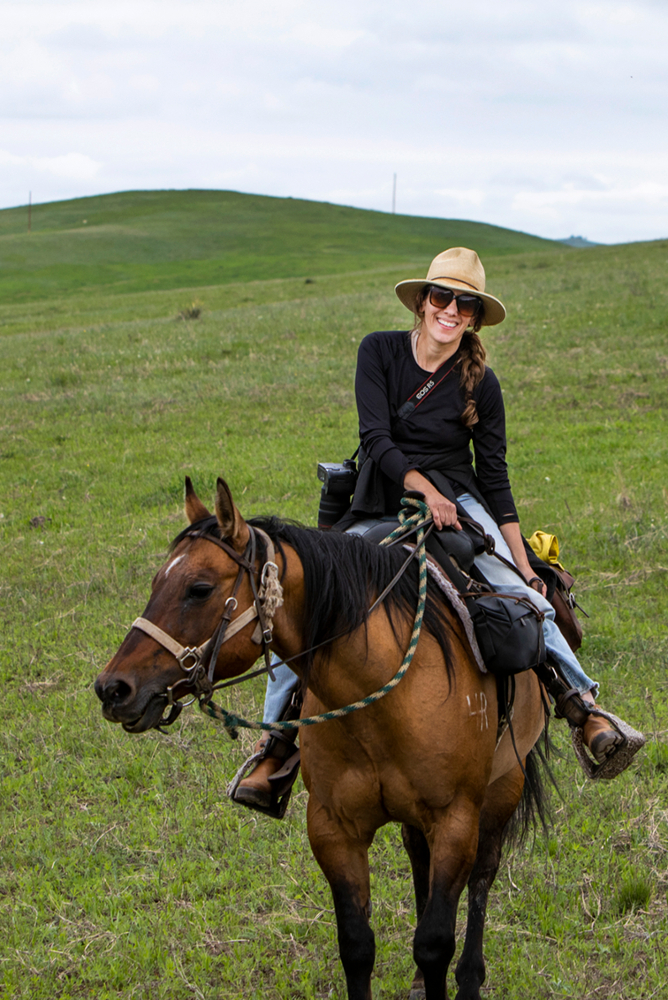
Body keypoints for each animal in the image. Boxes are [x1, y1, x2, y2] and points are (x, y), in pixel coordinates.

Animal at [96, 478, 552, 1000]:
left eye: (199, 588)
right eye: (155, 583)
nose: (113, 688)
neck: (382, 701)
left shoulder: (455, 820)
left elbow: (435, 942)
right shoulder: (333, 828)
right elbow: (356, 945)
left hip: (502, 789)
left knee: (482, 877)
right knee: (419, 858)